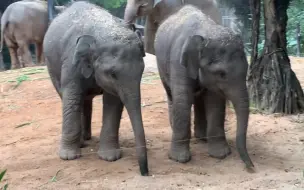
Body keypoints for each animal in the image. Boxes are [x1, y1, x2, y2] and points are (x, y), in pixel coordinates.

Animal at [43, 1, 150, 177]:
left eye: (142, 71)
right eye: (112, 74)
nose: (145, 173)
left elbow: (113, 102)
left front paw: (110, 157)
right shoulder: (71, 62)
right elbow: (71, 98)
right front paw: (68, 157)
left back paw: (86, 138)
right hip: (51, 65)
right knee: (70, 97)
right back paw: (81, 142)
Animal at [154, 4, 254, 168]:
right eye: (221, 73)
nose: (251, 167)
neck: (207, 32)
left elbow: (215, 102)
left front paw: (221, 154)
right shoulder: (178, 61)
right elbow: (183, 100)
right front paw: (179, 159)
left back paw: (202, 138)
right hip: (161, 64)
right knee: (171, 94)